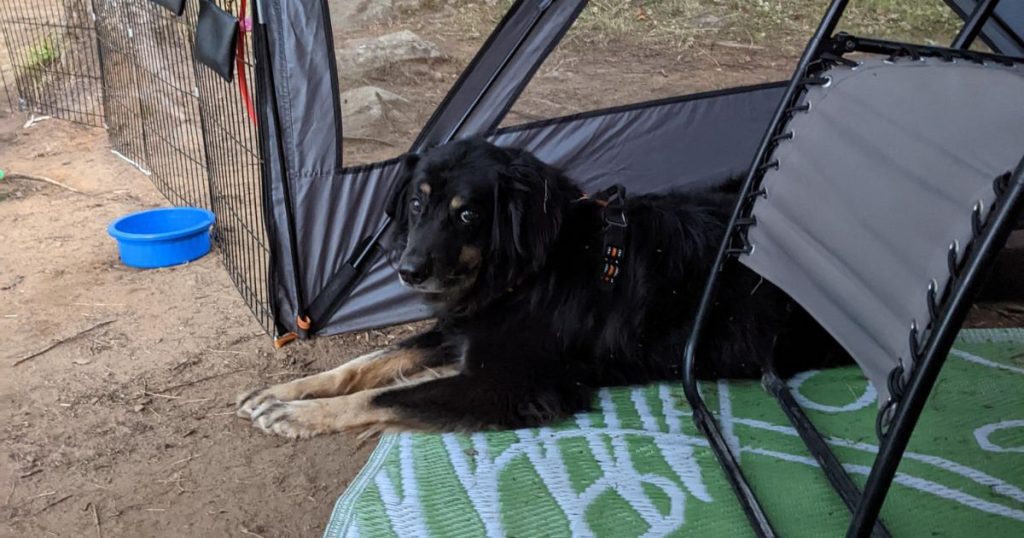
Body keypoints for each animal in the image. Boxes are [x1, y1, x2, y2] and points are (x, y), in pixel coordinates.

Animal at [237, 137, 847, 436]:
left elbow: (388, 393)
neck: (530, 273)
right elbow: (364, 364)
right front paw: (284, 392)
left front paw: (299, 416)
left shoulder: (509, 383)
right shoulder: (461, 328)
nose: (407, 270)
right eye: (416, 202)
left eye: (467, 215)